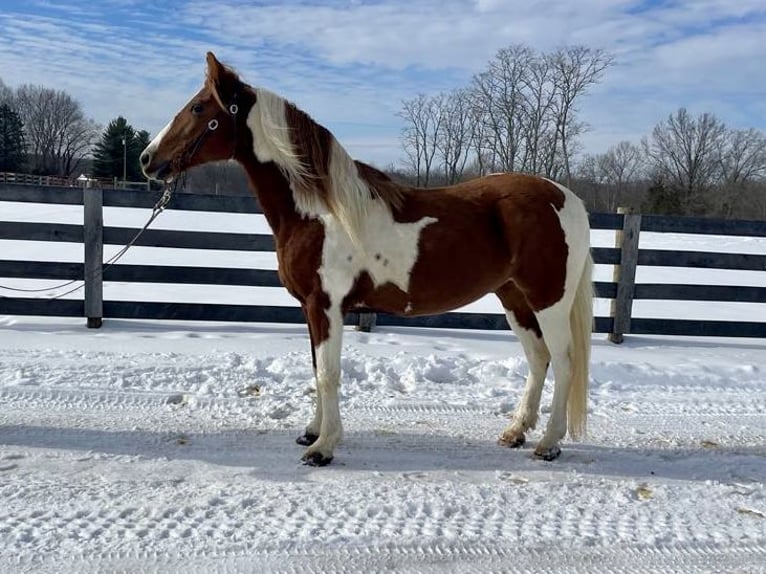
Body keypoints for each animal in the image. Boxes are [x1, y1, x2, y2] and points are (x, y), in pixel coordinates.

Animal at [141, 53, 596, 468]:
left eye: (198, 107)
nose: (148, 159)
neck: (318, 212)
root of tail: (567, 198)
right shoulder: (311, 308)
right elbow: (316, 369)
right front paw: (311, 431)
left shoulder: (326, 306)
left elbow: (328, 373)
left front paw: (323, 448)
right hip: (514, 299)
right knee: (538, 358)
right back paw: (515, 432)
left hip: (549, 301)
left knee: (564, 360)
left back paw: (549, 444)